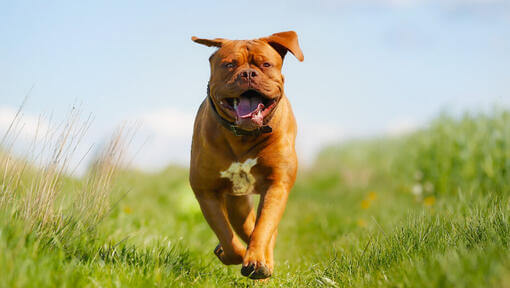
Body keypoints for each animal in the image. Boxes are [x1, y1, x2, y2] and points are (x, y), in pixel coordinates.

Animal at [190, 31, 302, 280]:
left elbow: (263, 227)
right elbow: (226, 235)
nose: (248, 73)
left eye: (266, 64)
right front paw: (235, 254)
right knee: (244, 227)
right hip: (237, 203)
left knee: (263, 230)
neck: (244, 136)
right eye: (229, 64)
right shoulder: (205, 190)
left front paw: (258, 261)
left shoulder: (277, 184)